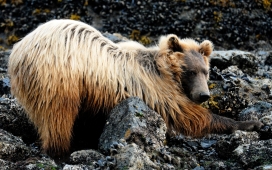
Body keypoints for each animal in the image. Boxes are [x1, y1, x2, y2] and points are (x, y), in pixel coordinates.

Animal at [8, 18, 262, 157]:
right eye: (190, 71)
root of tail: (18, 51)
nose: (203, 95)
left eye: (205, 70)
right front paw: (249, 123)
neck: (166, 72)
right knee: (58, 116)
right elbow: (184, 114)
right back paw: (60, 150)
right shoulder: (155, 87)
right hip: (59, 78)